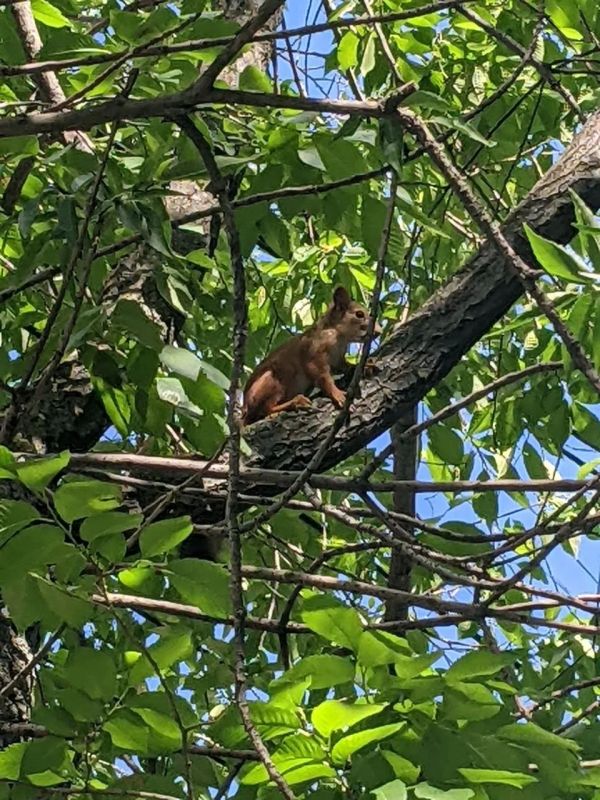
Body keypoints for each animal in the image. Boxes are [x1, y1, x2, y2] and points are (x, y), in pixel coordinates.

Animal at [242, 286, 381, 425]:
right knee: (265, 409)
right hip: (270, 381)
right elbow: (323, 376)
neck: (339, 336)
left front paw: (365, 365)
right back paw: (296, 402)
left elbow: (344, 366)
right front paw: (338, 394)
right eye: (359, 314)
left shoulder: (337, 359)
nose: (379, 332)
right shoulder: (313, 352)